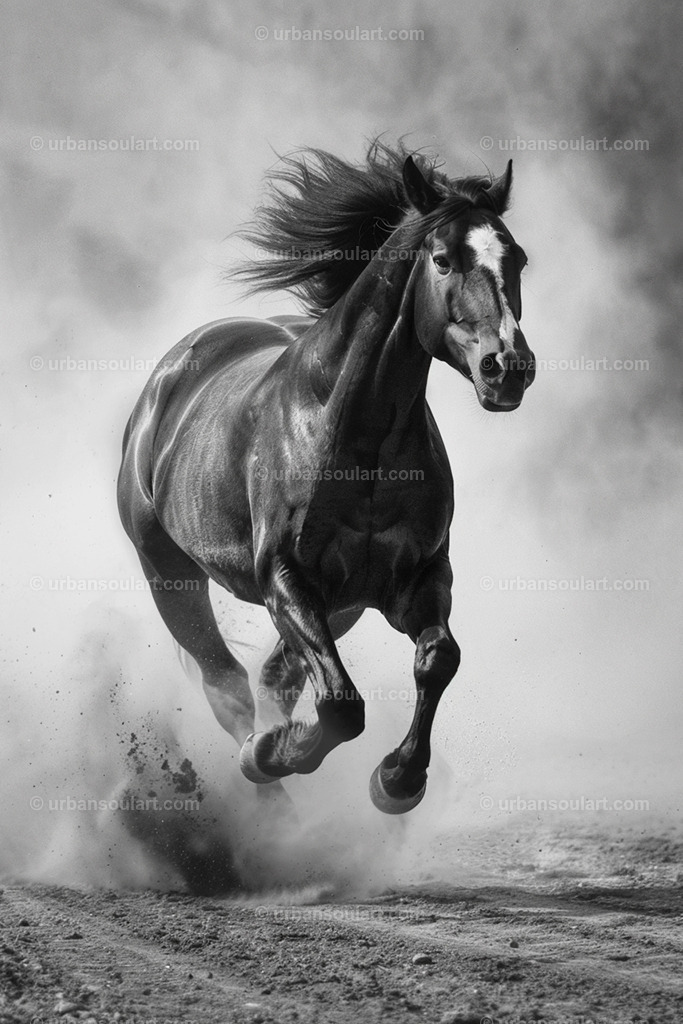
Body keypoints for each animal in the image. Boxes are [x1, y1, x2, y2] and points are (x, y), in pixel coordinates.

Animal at [117, 140, 535, 815]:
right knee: (226, 681)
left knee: (272, 675)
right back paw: (263, 775)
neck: (361, 445)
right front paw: (272, 754)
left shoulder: (414, 578)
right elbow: (341, 705)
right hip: (169, 573)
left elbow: (437, 657)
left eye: (517, 258)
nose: (509, 368)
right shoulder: (285, 579)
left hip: (343, 605)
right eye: (443, 259)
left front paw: (397, 780)